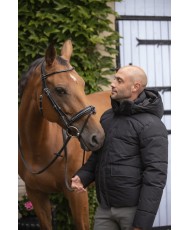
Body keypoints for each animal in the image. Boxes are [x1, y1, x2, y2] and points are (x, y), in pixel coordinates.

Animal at [18, 40, 110, 230]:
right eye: (60, 89)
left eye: (82, 84)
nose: (98, 137)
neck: (37, 148)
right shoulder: (36, 195)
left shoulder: (77, 194)